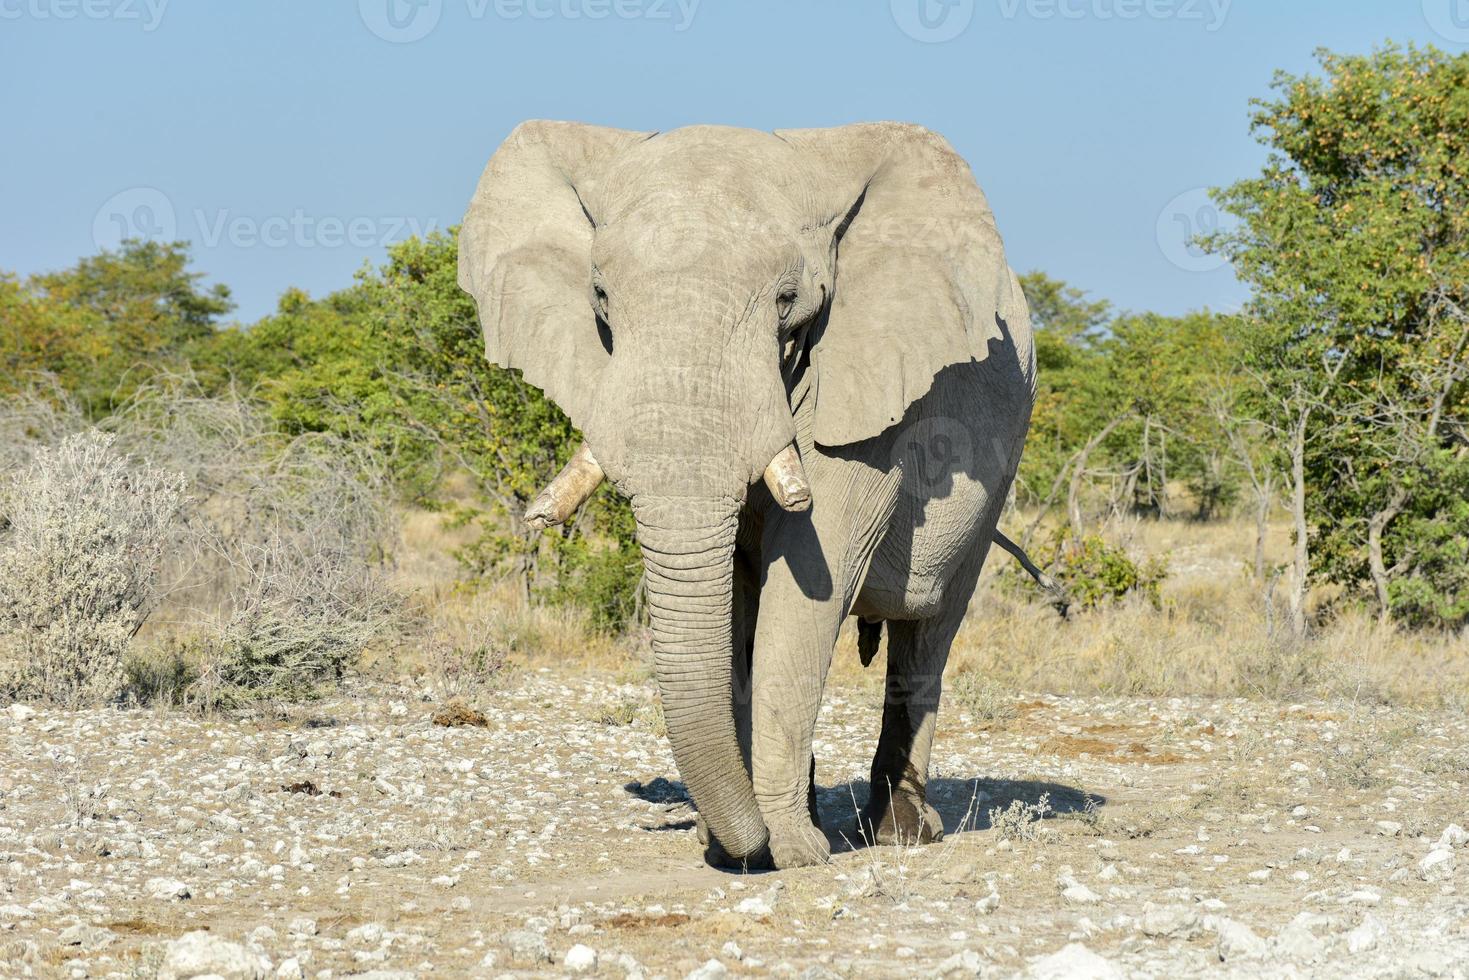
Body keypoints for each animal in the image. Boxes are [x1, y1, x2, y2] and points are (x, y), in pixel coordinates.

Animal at [455, 120, 1034, 863]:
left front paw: (788, 851)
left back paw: (900, 833)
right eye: (602, 300)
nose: (743, 840)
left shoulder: (870, 388)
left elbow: (809, 581)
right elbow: (733, 602)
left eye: (788, 304)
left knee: (927, 633)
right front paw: (736, 846)